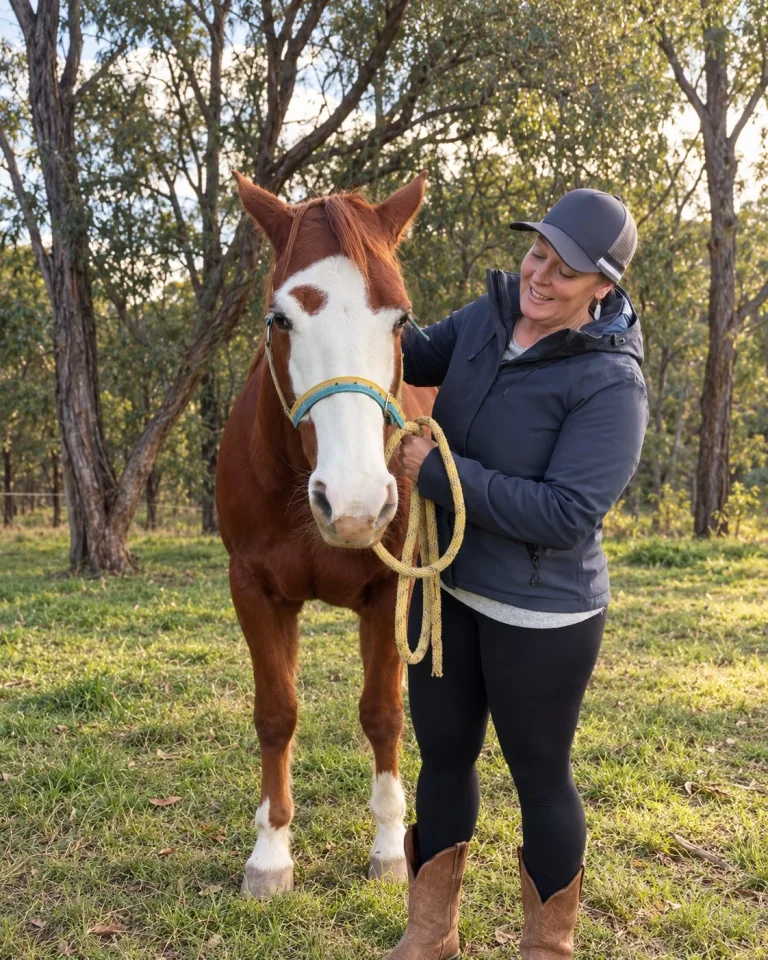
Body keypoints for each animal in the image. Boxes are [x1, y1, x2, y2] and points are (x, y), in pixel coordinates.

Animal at [216, 171, 435, 898]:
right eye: (280, 318)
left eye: (401, 319)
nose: (354, 502)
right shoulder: (255, 591)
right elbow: (276, 713)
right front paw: (270, 856)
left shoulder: (388, 593)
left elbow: (383, 713)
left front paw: (390, 847)